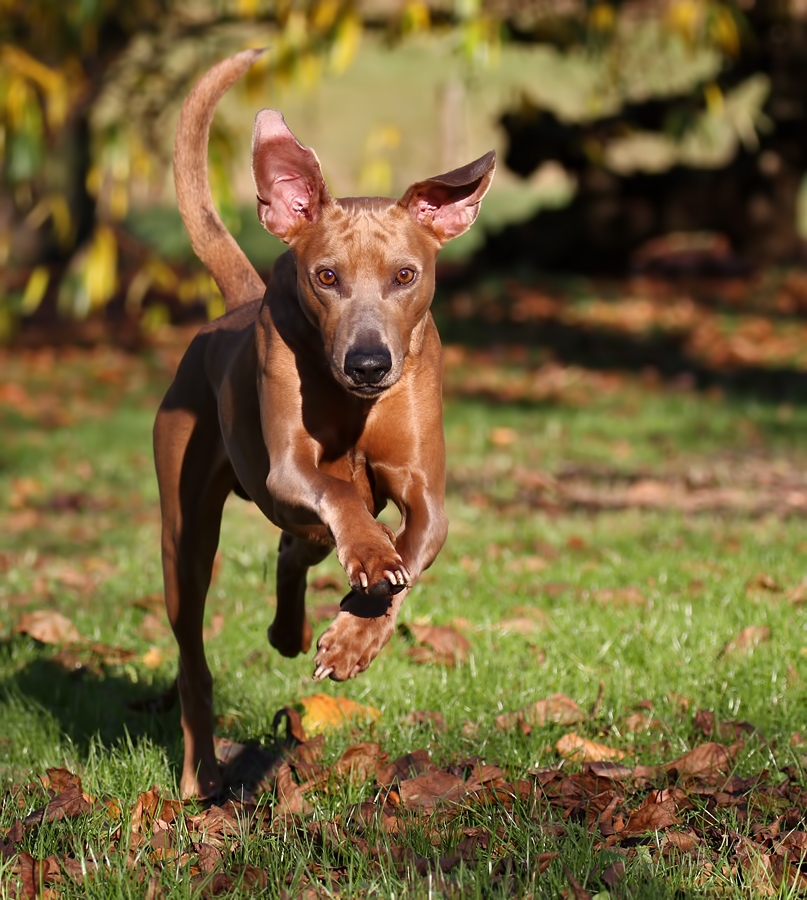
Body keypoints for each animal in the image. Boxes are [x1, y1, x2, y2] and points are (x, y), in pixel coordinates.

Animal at [151, 49, 492, 800]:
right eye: (327, 276)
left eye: (405, 275)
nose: (368, 363)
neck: (351, 404)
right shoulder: (291, 468)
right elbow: (339, 495)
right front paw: (367, 556)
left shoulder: (425, 489)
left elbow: (414, 547)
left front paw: (353, 639)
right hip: (184, 536)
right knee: (192, 655)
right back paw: (201, 773)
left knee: (295, 546)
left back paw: (292, 628)